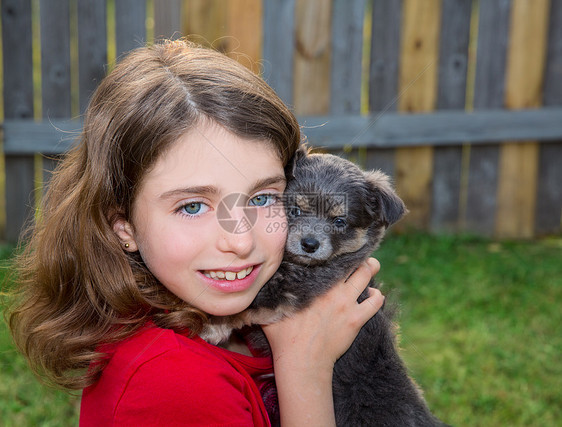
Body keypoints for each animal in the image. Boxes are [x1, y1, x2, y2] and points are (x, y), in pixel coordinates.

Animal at [199, 149, 444, 426]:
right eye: (295, 210)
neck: (298, 264)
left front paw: (210, 325)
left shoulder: (296, 287)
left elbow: (249, 300)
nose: (309, 244)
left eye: (339, 221)